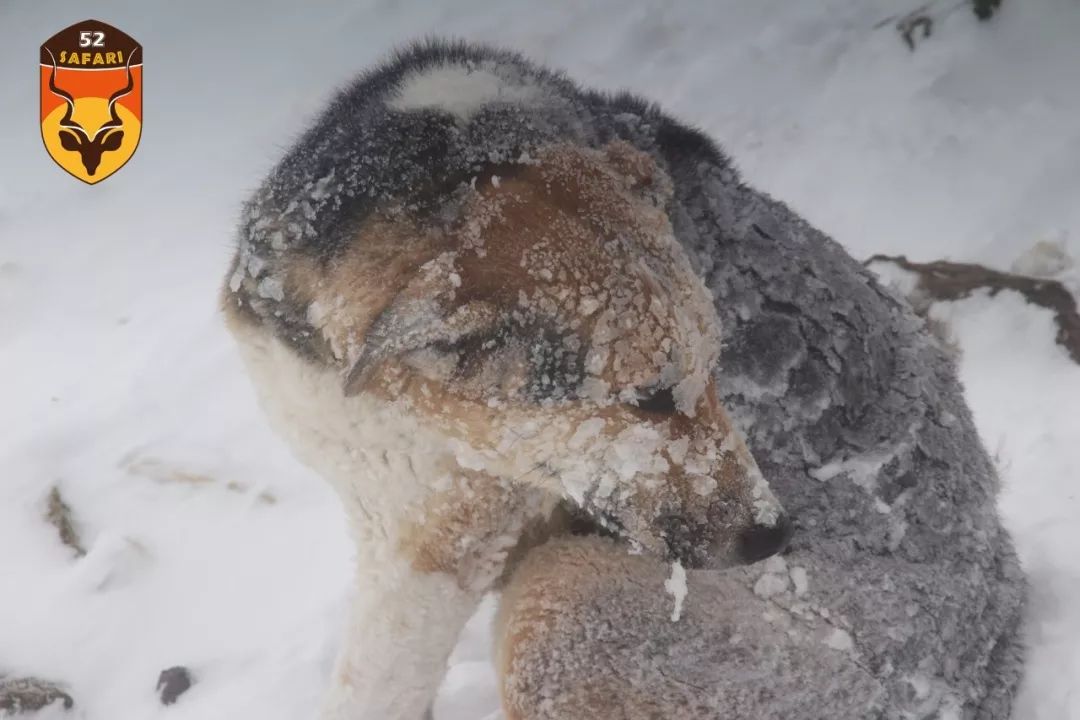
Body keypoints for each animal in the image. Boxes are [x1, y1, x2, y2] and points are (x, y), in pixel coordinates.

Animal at [223, 40, 1023, 720]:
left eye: (715, 369)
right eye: (648, 399)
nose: (775, 537)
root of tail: (991, 644)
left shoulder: (437, 548)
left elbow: (369, 688)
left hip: (557, 608)